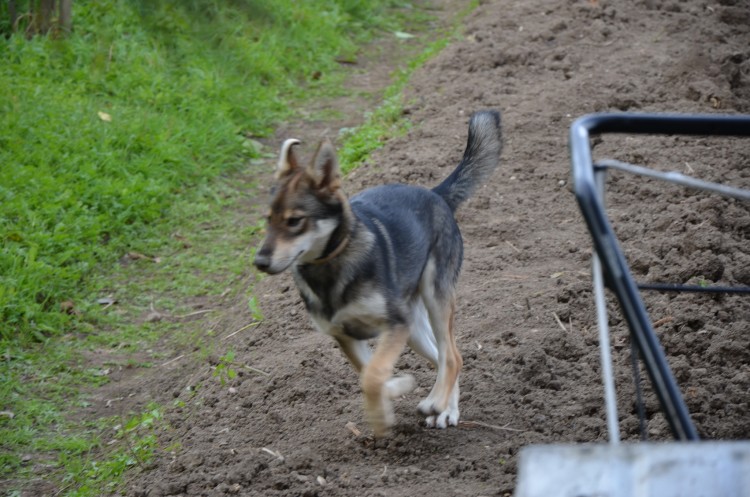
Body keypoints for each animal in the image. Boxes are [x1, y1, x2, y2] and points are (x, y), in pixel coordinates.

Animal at [254, 110, 506, 436]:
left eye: (295, 221)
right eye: (268, 220)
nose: (259, 261)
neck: (332, 269)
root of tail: (435, 194)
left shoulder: (395, 324)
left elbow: (373, 375)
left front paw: (382, 413)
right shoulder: (347, 335)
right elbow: (369, 374)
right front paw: (396, 389)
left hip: (434, 297)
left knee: (453, 356)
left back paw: (437, 404)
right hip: (415, 327)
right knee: (443, 356)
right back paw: (445, 408)